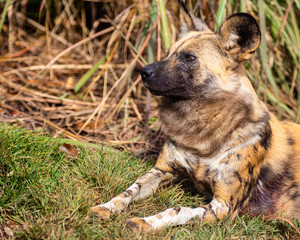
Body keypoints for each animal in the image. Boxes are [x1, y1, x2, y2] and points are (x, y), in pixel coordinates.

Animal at [91, 0, 300, 232]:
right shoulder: (162, 170)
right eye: (167, 53)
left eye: (189, 58)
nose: (143, 71)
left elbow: (176, 210)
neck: (201, 131)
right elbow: (129, 190)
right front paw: (106, 207)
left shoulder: (223, 206)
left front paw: (144, 222)